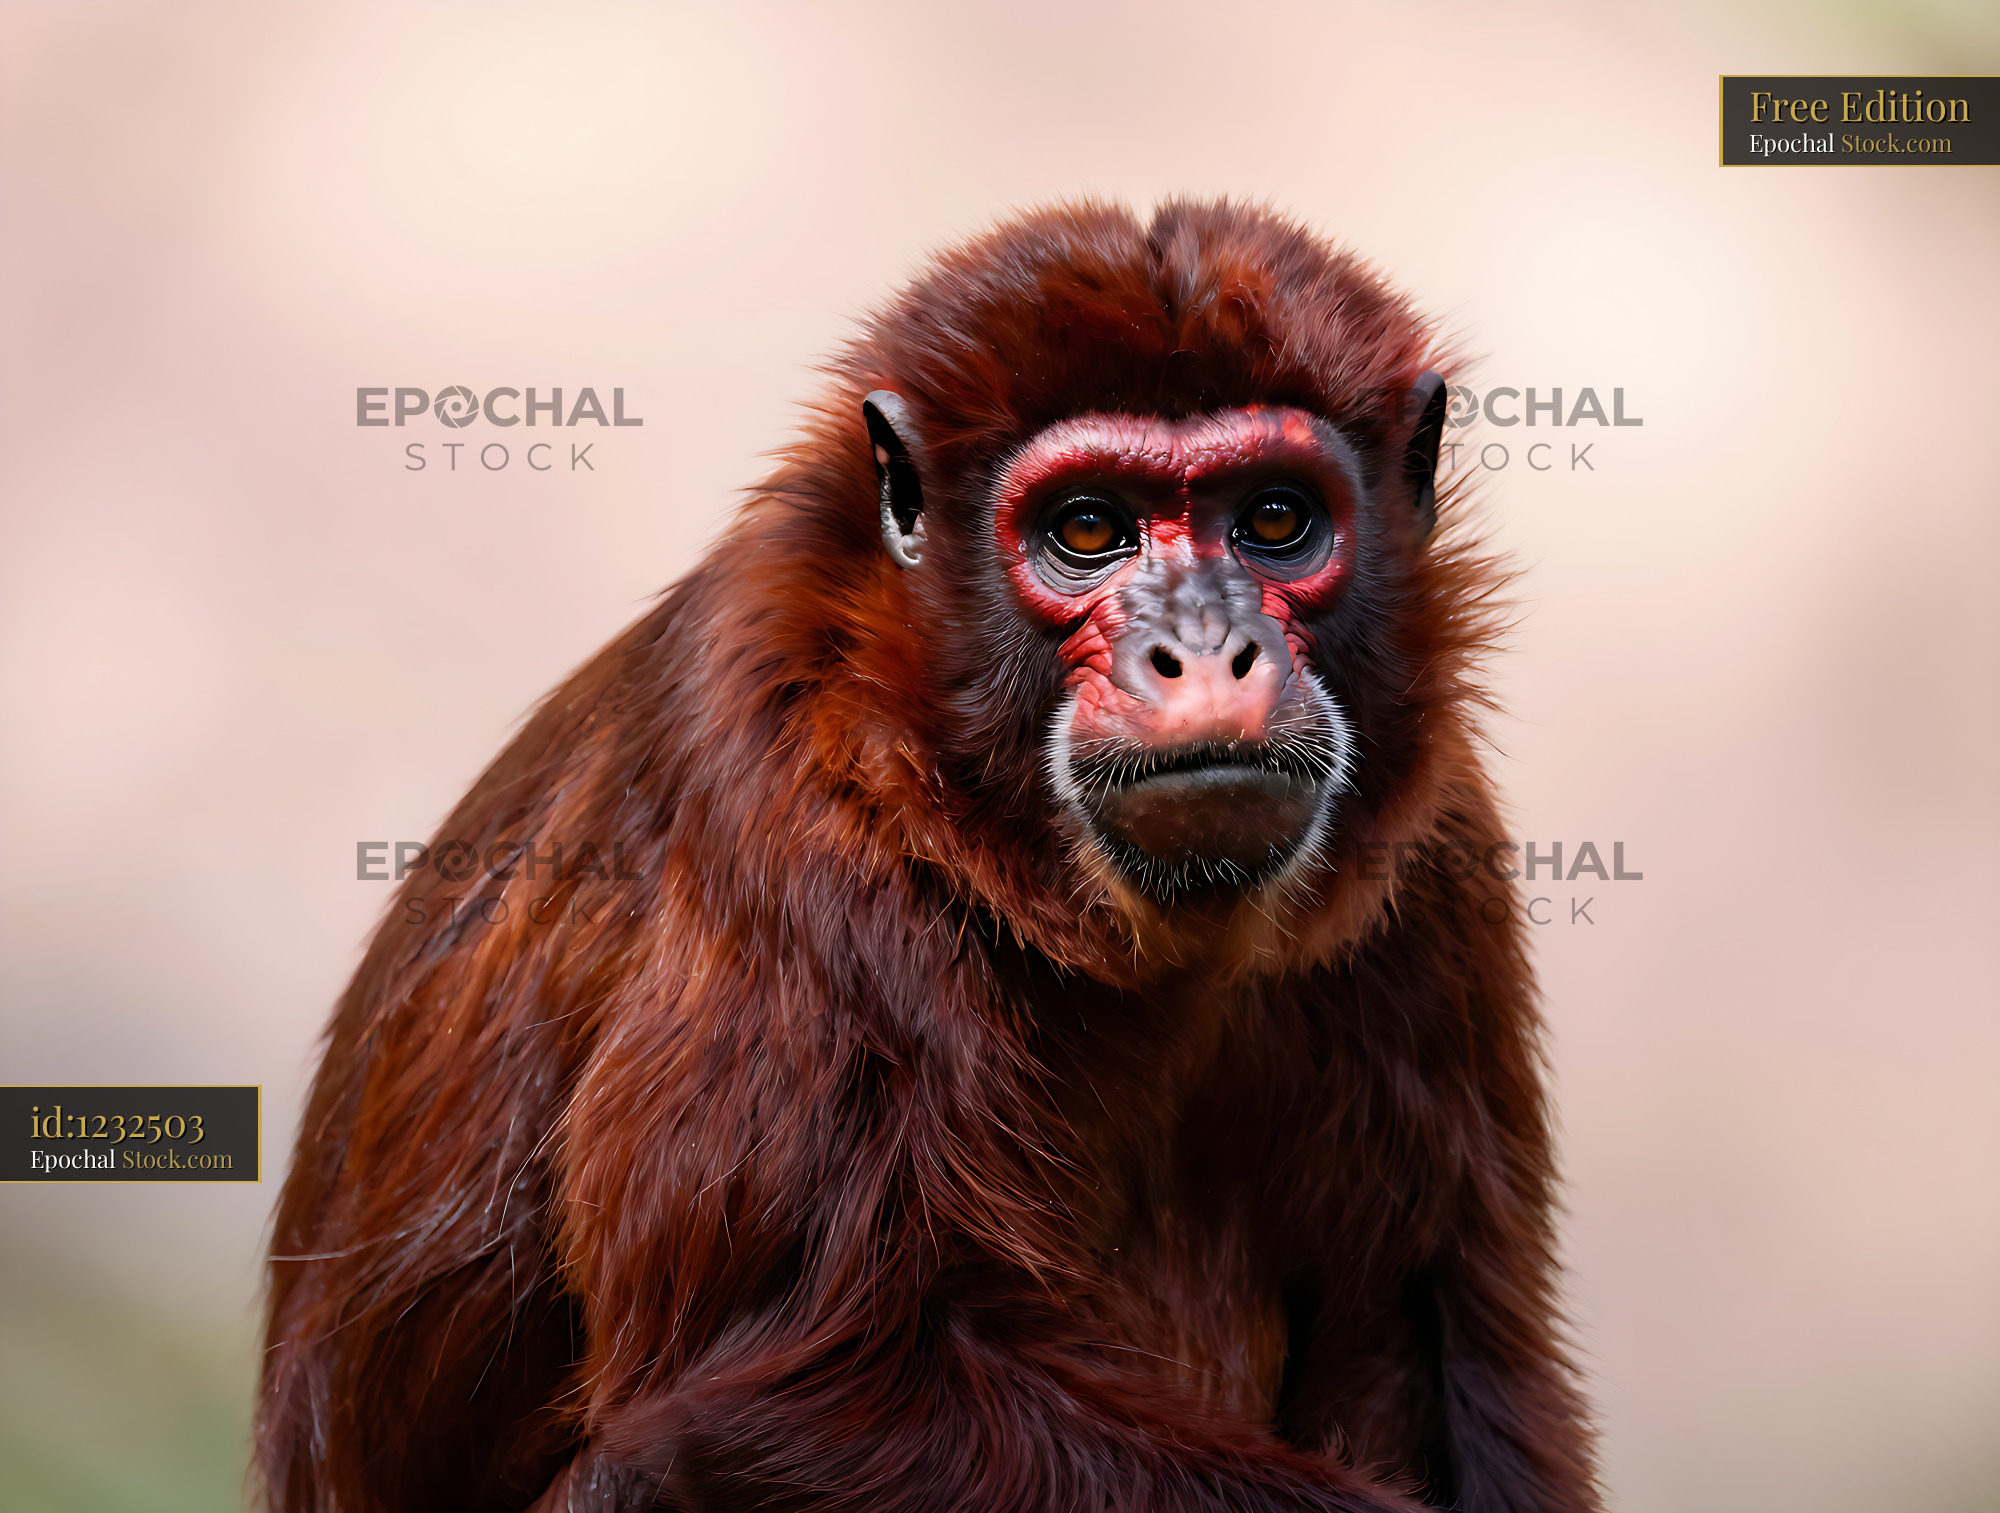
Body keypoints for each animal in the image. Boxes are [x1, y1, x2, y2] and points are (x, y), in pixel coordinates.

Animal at [258, 199, 1598, 1513]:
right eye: (1088, 529)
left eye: (1273, 519)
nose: (1204, 647)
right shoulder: (780, 779)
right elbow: (796, 1390)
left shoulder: (1431, 842)